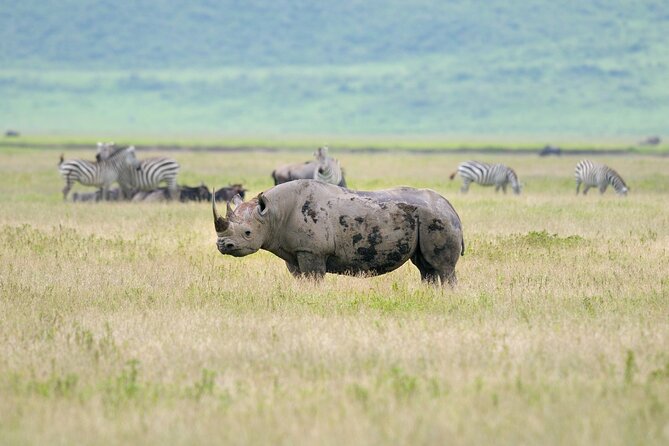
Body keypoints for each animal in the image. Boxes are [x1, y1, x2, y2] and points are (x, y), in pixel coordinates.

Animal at [212, 180, 464, 285]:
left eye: (247, 232)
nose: (224, 245)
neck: (272, 214)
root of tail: (450, 207)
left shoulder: (311, 251)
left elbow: (313, 279)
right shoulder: (294, 251)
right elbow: (300, 278)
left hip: (438, 220)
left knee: (442, 267)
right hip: (428, 219)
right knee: (426, 267)